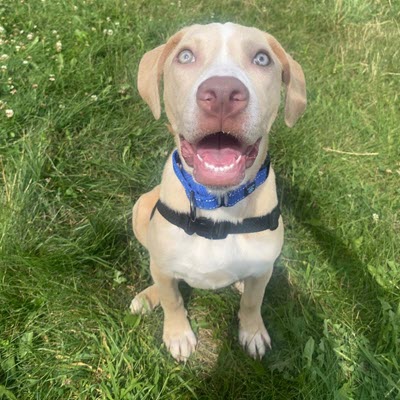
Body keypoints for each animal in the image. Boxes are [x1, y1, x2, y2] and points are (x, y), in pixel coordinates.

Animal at [130, 22, 304, 362]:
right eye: (185, 55)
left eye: (262, 58)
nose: (223, 94)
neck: (220, 205)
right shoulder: (165, 265)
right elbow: (173, 299)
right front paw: (178, 334)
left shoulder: (262, 268)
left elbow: (253, 301)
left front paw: (252, 331)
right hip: (141, 207)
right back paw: (148, 296)